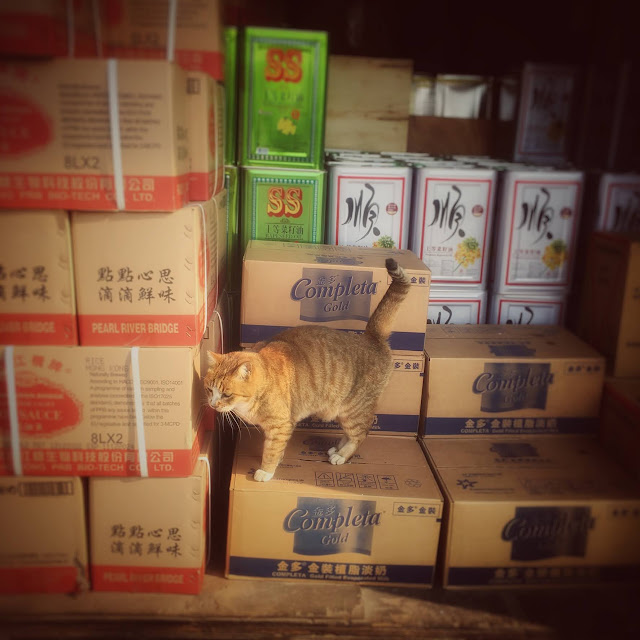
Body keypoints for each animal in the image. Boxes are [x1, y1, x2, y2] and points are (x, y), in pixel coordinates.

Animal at [204, 257, 411, 482]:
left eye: (226, 394)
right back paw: (337, 449)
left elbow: (271, 451)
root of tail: (371, 339)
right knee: (350, 433)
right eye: (209, 390)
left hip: (353, 410)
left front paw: (266, 471)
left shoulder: (280, 426)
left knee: (361, 433)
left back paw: (342, 456)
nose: (213, 405)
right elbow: (278, 450)